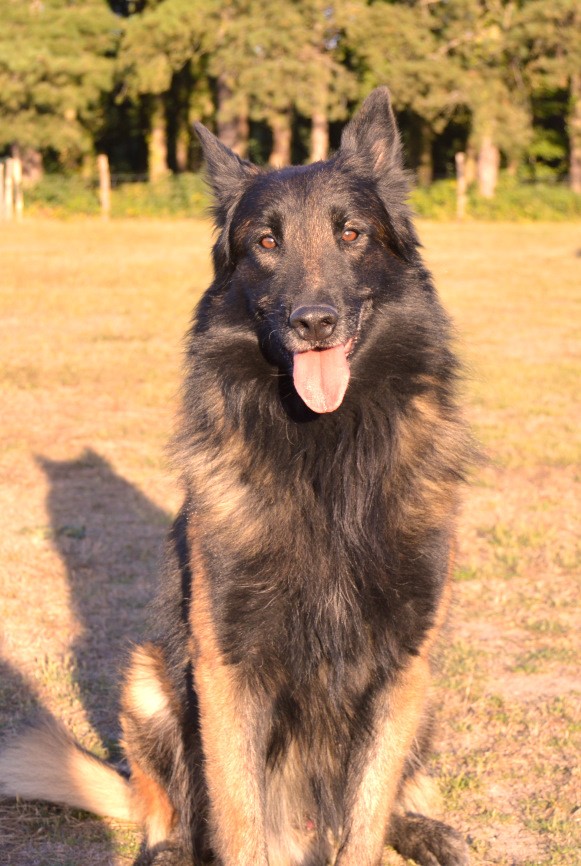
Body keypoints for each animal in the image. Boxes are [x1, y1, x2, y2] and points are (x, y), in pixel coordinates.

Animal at [0, 88, 472, 864]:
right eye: (265, 243)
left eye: (351, 234)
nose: (314, 322)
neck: (325, 458)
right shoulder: (226, 666)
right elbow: (238, 818)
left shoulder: (403, 662)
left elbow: (366, 816)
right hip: (150, 678)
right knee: (165, 805)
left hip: (427, 692)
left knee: (402, 789)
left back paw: (427, 830)